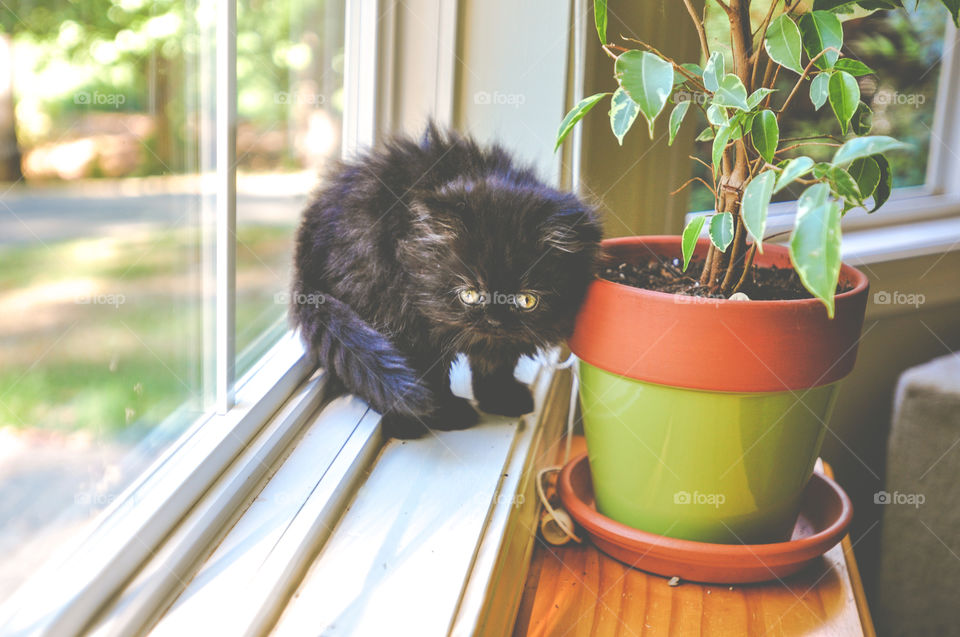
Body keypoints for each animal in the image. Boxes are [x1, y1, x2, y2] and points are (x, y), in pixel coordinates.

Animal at [290, 124, 600, 438]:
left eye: (526, 300)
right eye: (470, 294)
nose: (495, 321)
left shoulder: (504, 338)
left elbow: (498, 362)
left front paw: (500, 399)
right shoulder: (414, 320)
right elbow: (431, 373)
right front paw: (445, 415)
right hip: (374, 290)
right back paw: (404, 424)